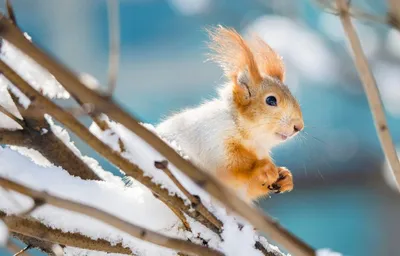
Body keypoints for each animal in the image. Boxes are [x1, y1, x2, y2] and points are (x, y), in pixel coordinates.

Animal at [156, 25, 304, 202]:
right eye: (271, 100)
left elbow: (249, 189)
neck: (247, 137)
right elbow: (226, 175)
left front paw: (286, 176)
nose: (299, 126)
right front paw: (263, 169)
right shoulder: (214, 143)